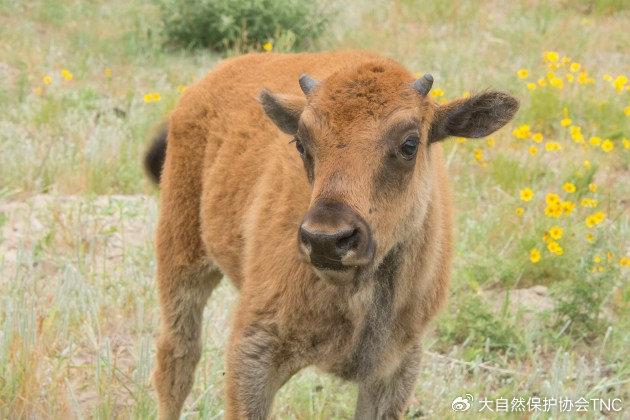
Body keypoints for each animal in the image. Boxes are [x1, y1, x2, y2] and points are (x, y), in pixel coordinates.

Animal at [148, 50, 520, 418]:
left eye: (410, 144)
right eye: (300, 143)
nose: (326, 239)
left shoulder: (397, 365)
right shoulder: (254, 349)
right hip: (181, 260)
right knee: (177, 361)